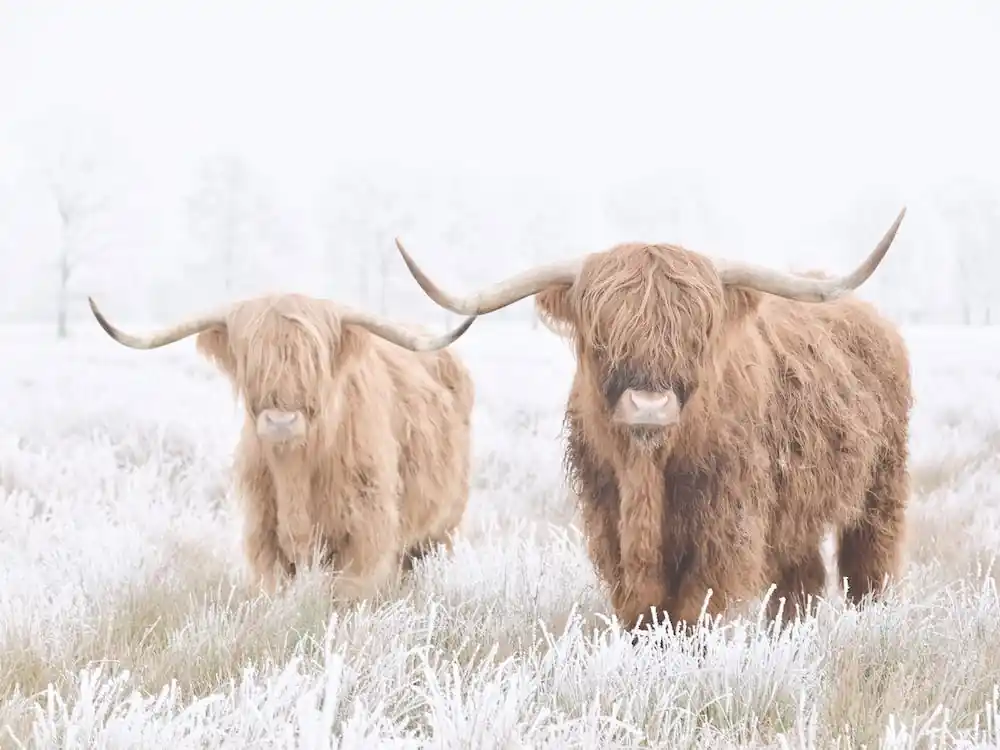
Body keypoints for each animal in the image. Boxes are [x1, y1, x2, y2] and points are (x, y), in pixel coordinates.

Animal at [88, 293, 477, 601]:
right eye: (251, 361)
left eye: (314, 362)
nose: (281, 422)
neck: (296, 471)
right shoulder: (264, 538)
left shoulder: (365, 537)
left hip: (440, 531)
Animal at [391, 208, 911, 635]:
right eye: (602, 334)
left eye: (697, 334)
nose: (648, 406)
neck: (648, 470)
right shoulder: (608, 523)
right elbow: (642, 612)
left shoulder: (726, 527)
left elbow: (694, 611)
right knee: (800, 581)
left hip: (882, 484)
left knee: (868, 565)